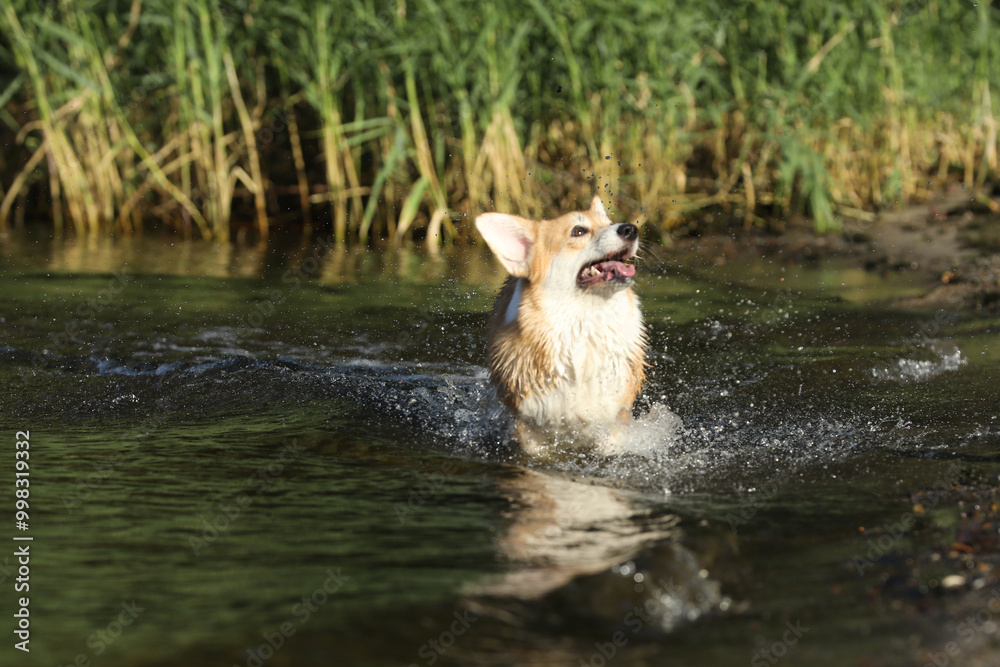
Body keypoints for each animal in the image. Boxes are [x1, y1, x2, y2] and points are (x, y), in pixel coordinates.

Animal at [474, 193, 644, 454]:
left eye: (608, 223)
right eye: (578, 231)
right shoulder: (529, 427)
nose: (630, 229)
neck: (585, 322)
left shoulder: (615, 416)